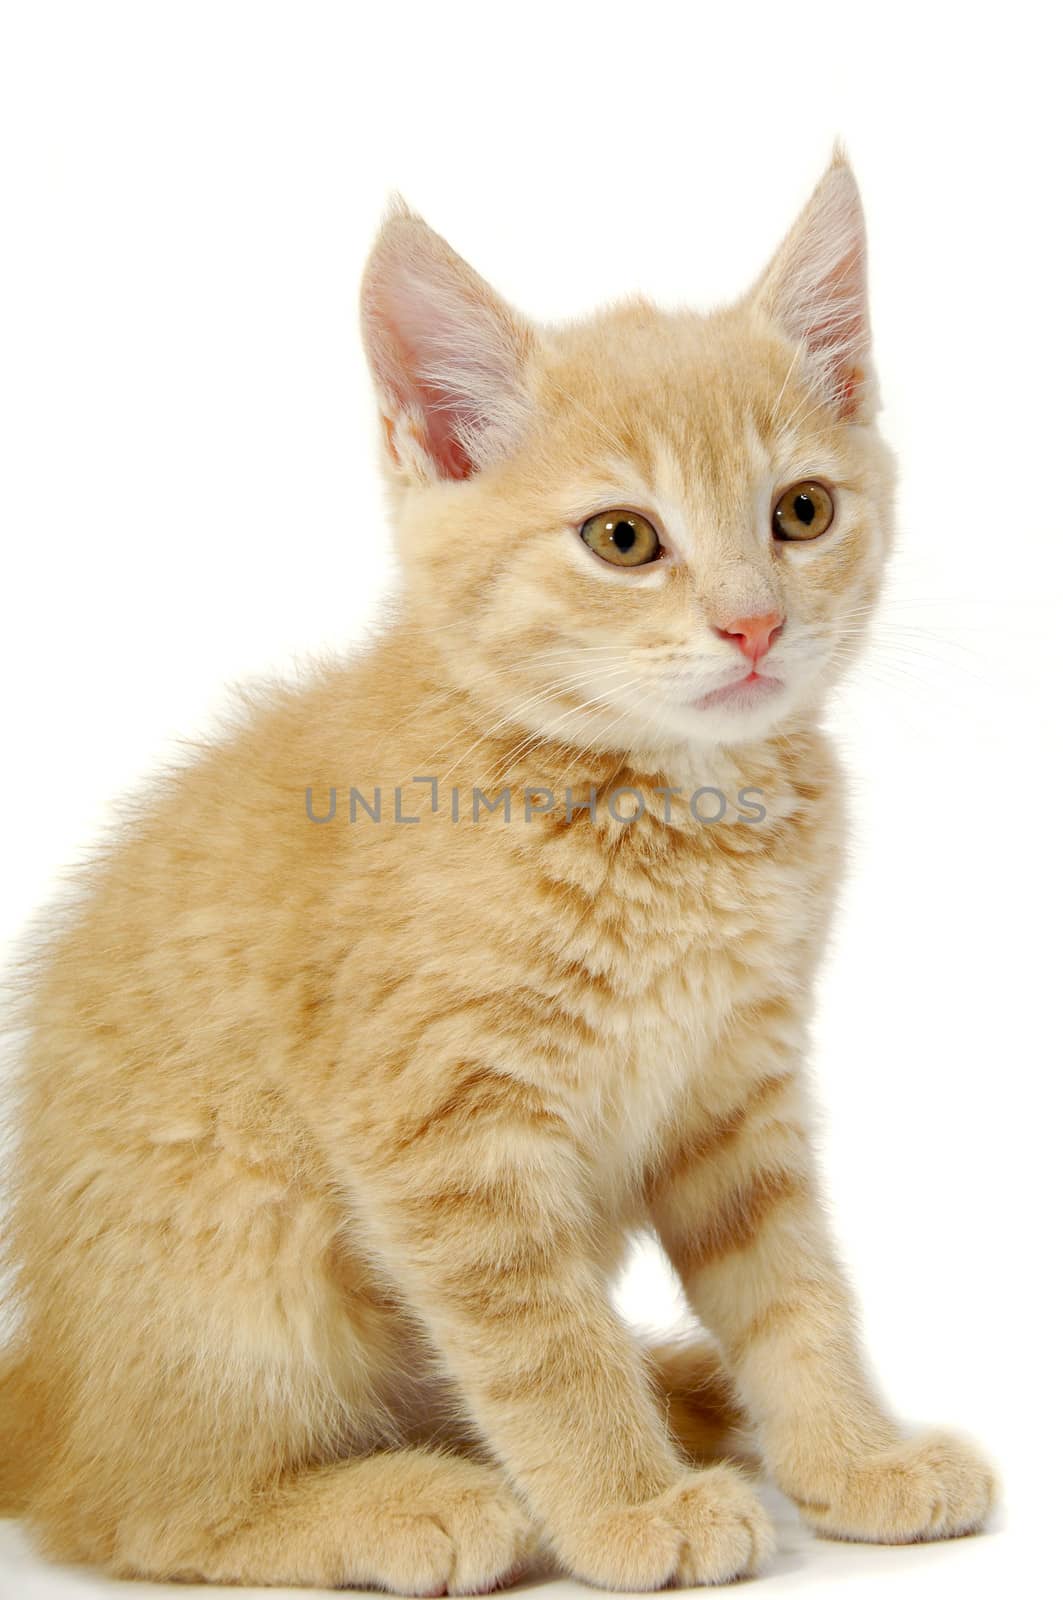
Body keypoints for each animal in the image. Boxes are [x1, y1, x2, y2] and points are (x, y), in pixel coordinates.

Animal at [2, 152, 998, 1587]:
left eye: (800, 512)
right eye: (623, 539)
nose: (753, 624)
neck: (665, 810)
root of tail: (46, 1385)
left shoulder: (734, 1083)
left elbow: (792, 1286)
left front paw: (851, 1456)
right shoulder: (440, 1123)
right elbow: (539, 1342)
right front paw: (630, 1507)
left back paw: (681, 1390)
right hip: (237, 1252)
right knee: (138, 1509)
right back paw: (409, 1499)